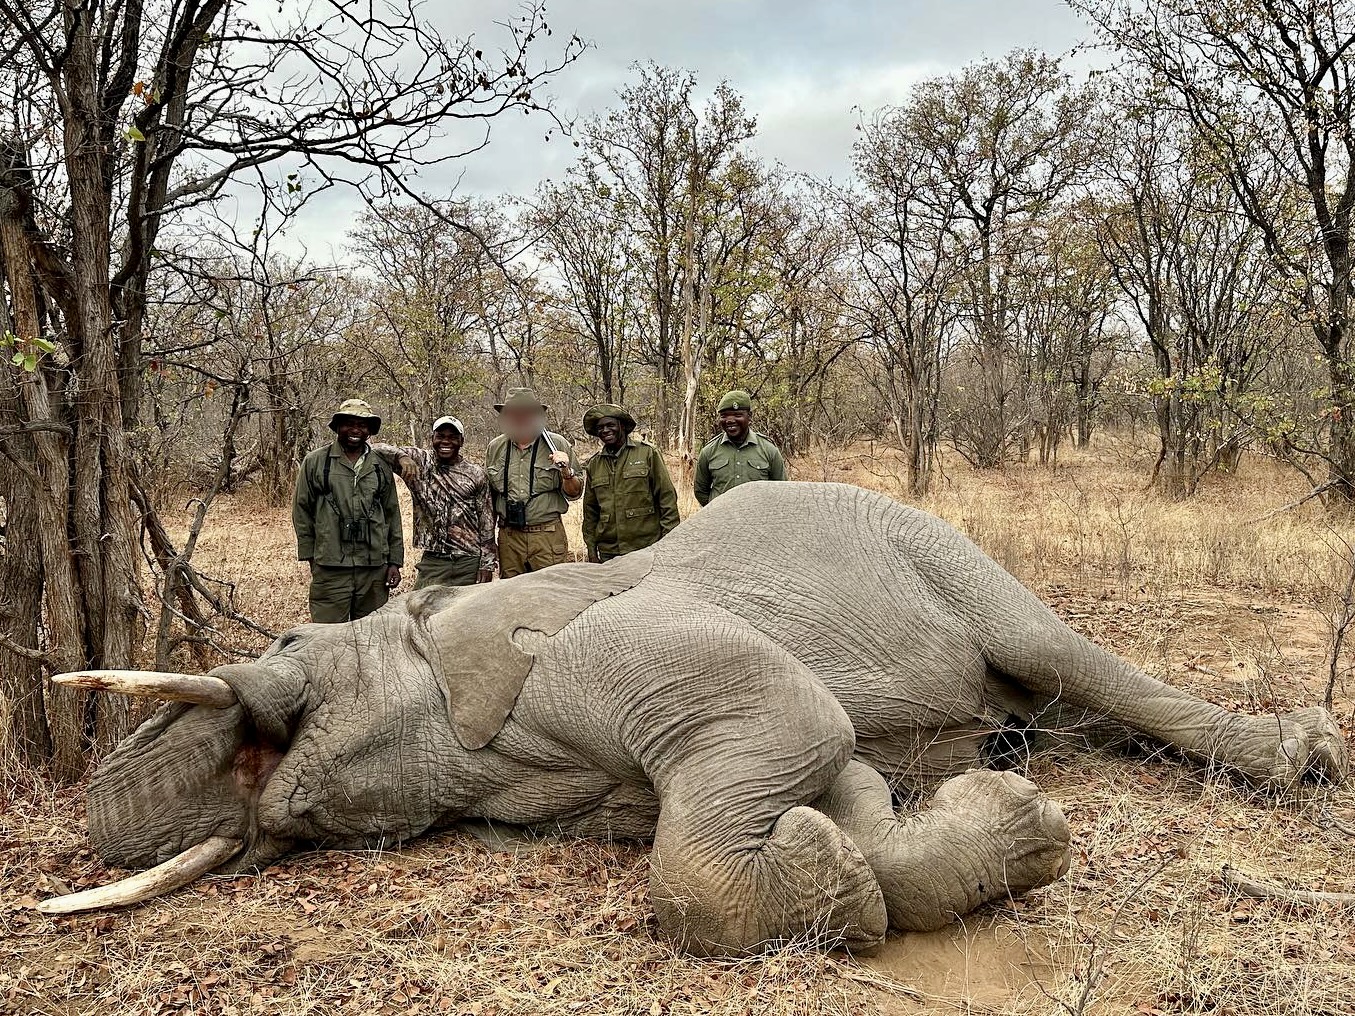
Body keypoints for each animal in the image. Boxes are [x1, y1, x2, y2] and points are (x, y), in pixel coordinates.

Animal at [40, 481, 1348, 956]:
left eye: (284, 649)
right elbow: (829, 774)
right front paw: (888, 844)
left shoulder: (604, 643)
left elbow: (792, 717)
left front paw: (853, 872)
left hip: (947, 553)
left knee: (1066, 655)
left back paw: (1303, 755)